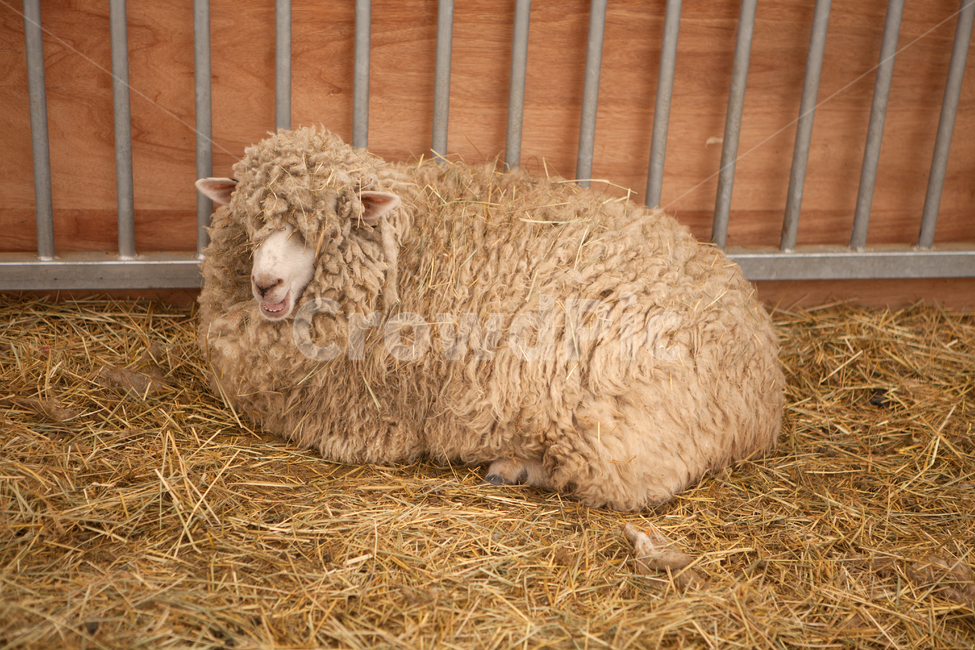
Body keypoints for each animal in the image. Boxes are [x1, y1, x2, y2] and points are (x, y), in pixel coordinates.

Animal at [195, 127, 785, 511]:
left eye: (320, 229)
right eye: (251, 220)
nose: (264, 284)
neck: (404, 250)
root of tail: (761, 390)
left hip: (613, 417)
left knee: (628, 483)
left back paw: (513, 467)